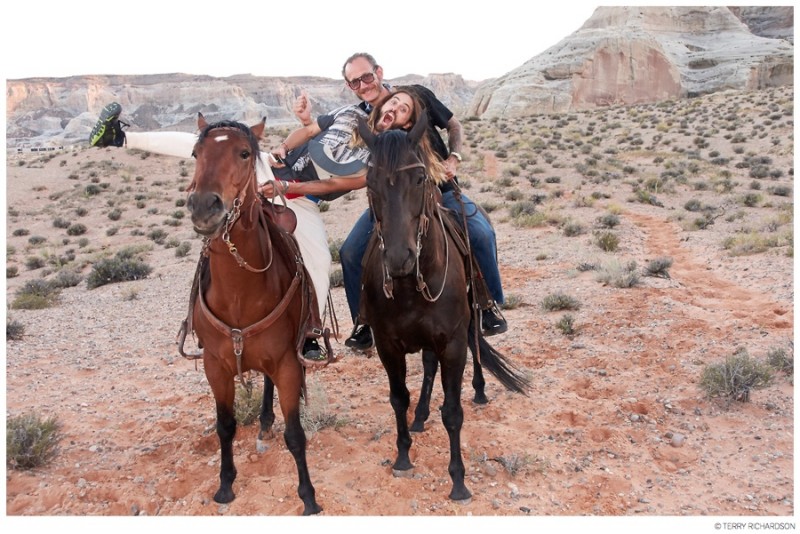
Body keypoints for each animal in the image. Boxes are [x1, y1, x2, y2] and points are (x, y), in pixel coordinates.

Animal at [183, 115, 320, 516]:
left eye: (244, 153)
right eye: (195, 153)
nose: (204, 206)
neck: (240, 293)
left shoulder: (288, 362)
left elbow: (295, 434)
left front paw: (308, 497)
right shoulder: (215, 367)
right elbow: (225, 426)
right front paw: (225, 485)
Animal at [358, 115, 532, 504]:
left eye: (420, 179)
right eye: (369, 182)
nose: (399, 258)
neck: (410, 287)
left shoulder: (451, 343)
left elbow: (453, 412)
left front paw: (458, 481)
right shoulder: (388, 347)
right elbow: (399, 399)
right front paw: (403, 456)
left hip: (471, 314)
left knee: (475, 346)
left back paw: (480, 389)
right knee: (427, 367)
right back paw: (421, 416)